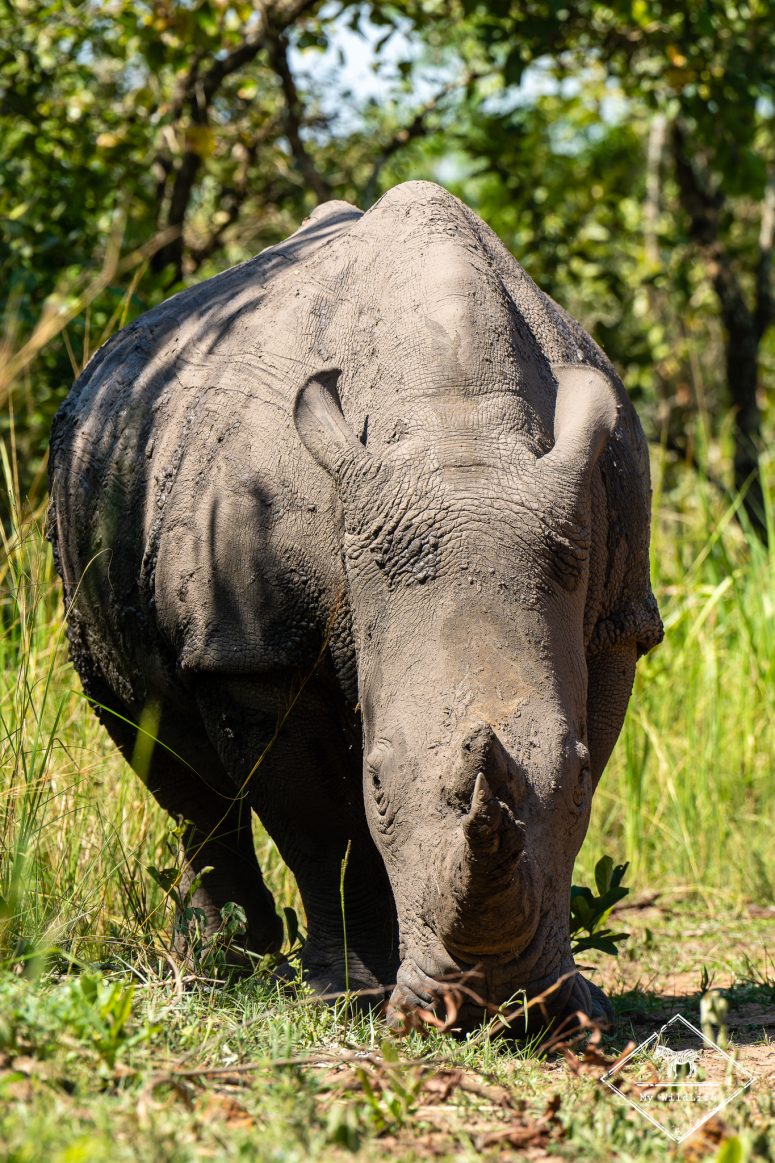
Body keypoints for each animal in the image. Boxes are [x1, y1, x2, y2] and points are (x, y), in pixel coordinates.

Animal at [48, 181, 662, 1028]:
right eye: (377, 777)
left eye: (571, 772)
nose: (488, 1005)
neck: (460, 442)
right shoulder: (257, 645)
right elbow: (323, 827)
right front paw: (350, 998)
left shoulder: (612, 622)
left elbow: (579, 766)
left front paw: (577, 1001)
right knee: (150, 735)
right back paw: (220, 965)